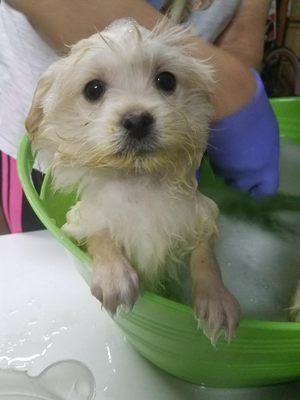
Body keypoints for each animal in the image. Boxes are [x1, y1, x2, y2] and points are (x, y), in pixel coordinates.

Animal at [26, 18, 241, 342]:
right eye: (93, 89)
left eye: (166, 81)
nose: (138, 120)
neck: (139, 183)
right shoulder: (81, 219)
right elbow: (100, 233)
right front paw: (115, 275)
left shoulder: (203, 215)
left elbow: (205, 256)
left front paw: (215, 297)